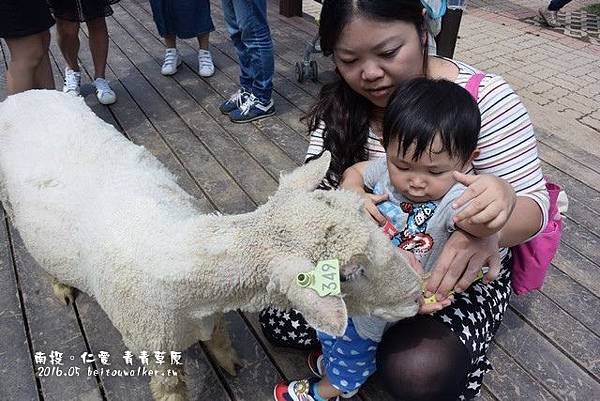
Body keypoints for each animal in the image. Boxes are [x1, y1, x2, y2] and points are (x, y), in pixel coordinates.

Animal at [0, 90, 422, 400]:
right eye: (349, 274)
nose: (418, 292)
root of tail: (23, 93)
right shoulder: (155, 353)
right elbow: (170, 390)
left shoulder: (212, 313)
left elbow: (219, 334)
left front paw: (230, 363)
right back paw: (60, 285)